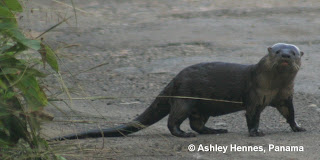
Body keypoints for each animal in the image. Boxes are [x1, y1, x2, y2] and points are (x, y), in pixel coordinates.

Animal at [53, 42, 306, 140]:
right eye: (276, 52)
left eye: (293, 52)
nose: (285, 55)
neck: (274, 87)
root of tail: (174, 79)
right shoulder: (254, 95)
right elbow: (252, 116)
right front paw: (255, 132)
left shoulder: (285, 96)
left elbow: (290, 113)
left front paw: (298, 127)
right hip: (185, 99)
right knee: (173, 121)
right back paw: (184, 134)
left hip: (201, 107)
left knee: (198, 123)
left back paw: (216, 130)